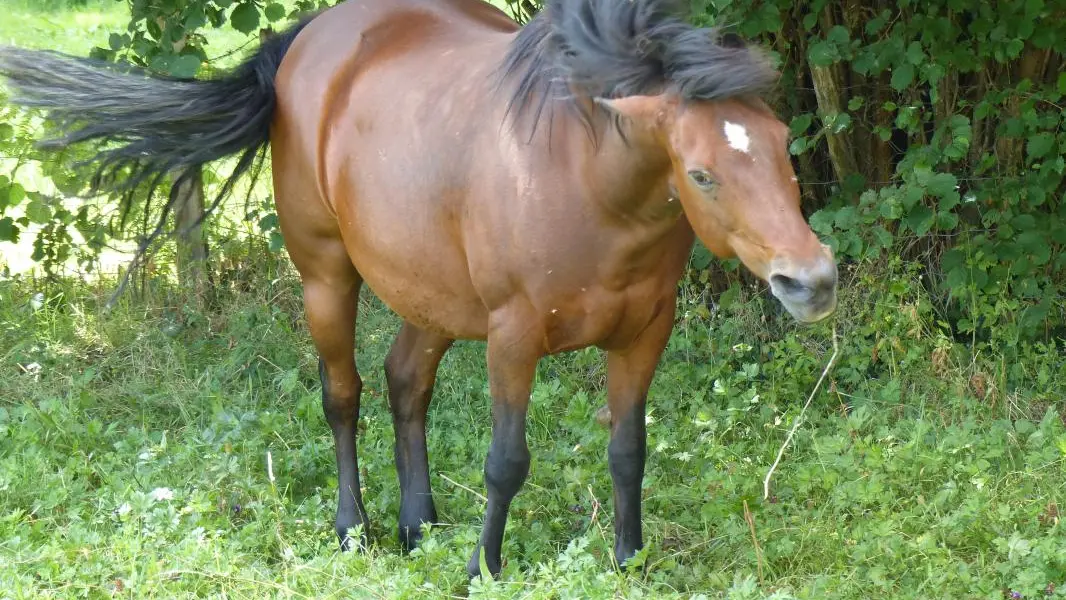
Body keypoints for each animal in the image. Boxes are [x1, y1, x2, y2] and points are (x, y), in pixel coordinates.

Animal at [0, 0, 835, 575]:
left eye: (782, 144)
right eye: (701, 172)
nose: (811, 280)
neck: (588, 181)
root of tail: (312, 37)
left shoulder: (644, 332)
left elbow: (629, 449)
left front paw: (629, 562)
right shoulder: (513, 337)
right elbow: (507, 461)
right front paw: (483, 568)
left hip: (432, 296)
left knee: (406, 383)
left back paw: (419, 523)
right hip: (326, 279)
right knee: (343, 395)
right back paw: (354, 528)